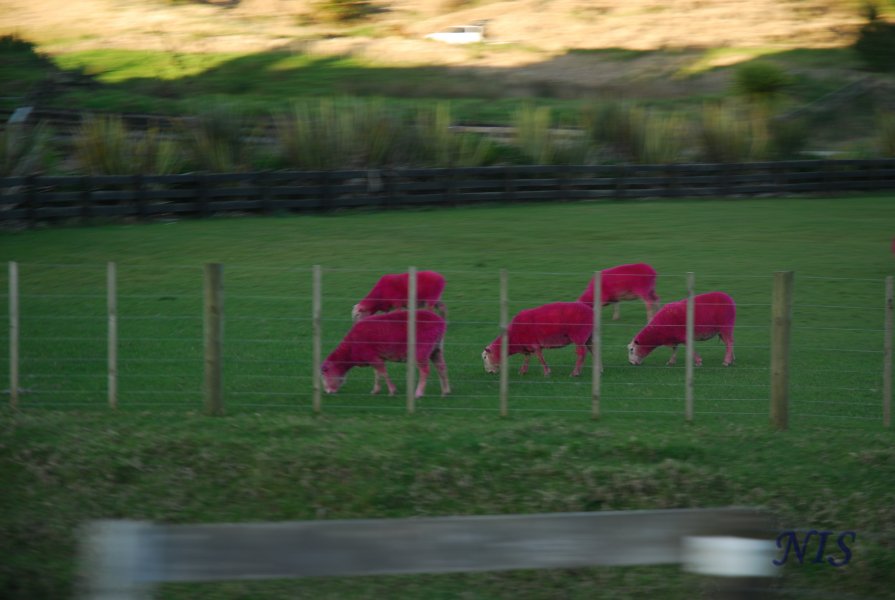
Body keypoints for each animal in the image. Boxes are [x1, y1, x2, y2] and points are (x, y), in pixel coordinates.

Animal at [322, 310, 452, 398]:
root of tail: (441, 322)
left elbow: (383, 373)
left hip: (422, 349)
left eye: (325, 373)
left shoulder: (372, 356)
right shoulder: (375, 357)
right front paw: (376, 390)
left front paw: (392, 391)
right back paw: (445, 391)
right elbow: (377, 374)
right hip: (436, 349)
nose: (328, 391)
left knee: (425, 370)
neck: (350, 349)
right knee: (442, 367)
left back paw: (419, 393)